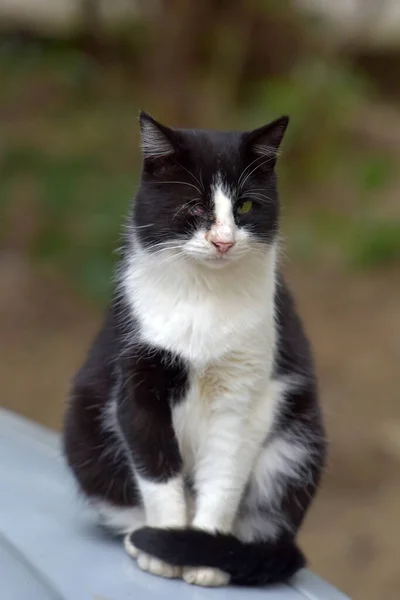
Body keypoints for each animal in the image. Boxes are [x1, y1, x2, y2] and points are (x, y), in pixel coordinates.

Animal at [62, 110, 324, 588]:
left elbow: (223, 476)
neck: (205, 296)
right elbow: (156, 468)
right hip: (84, 426)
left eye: (245, 206)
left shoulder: (245, 391)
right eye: (195, 206)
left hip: (298, 442)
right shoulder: (137, 377)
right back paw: (143, 540)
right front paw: (164, 550)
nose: (223, 241)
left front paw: (204, 557)